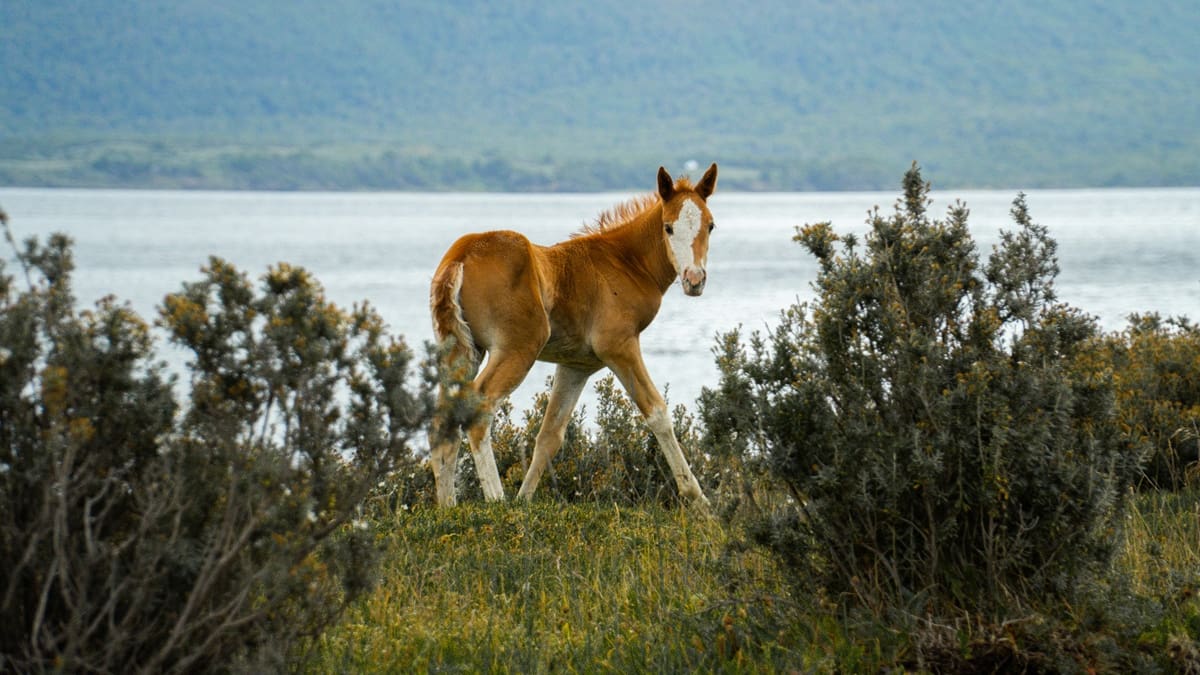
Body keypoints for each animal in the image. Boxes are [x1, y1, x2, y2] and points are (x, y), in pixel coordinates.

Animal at [428, 163, 718, 509]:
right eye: (668, 227)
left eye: (710, 226)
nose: (694, 279)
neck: (623, 261)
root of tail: (460, 258)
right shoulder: (619, 346)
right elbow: (657, 411)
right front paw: (700, 502)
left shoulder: (576, 365)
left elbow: (550, 435)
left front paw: (525, 501)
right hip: (518, 348)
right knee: (480, 407)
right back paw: (497, 501)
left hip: (462, 351)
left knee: (442, 422)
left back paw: (448, 507)